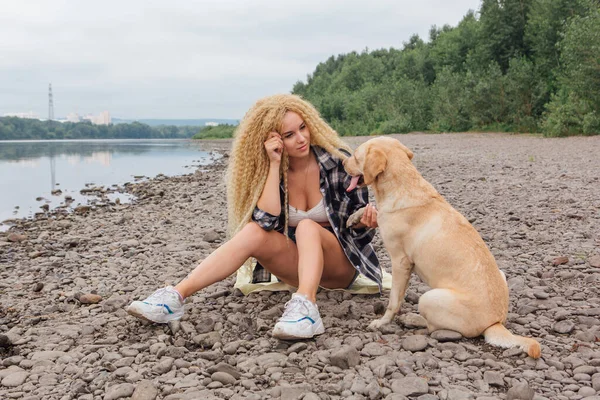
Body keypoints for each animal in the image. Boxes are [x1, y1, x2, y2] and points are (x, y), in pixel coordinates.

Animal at [344, 136, 540, 358]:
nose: (343, 163)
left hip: (429, 298)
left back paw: (413, 321)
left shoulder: (400, 262)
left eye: (355, 156)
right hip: (501, 273)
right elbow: (374, 212)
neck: (403, 183)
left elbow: (394, 301)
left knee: (433, 328)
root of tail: (496, 322)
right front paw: (355, 217)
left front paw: (382, 322)